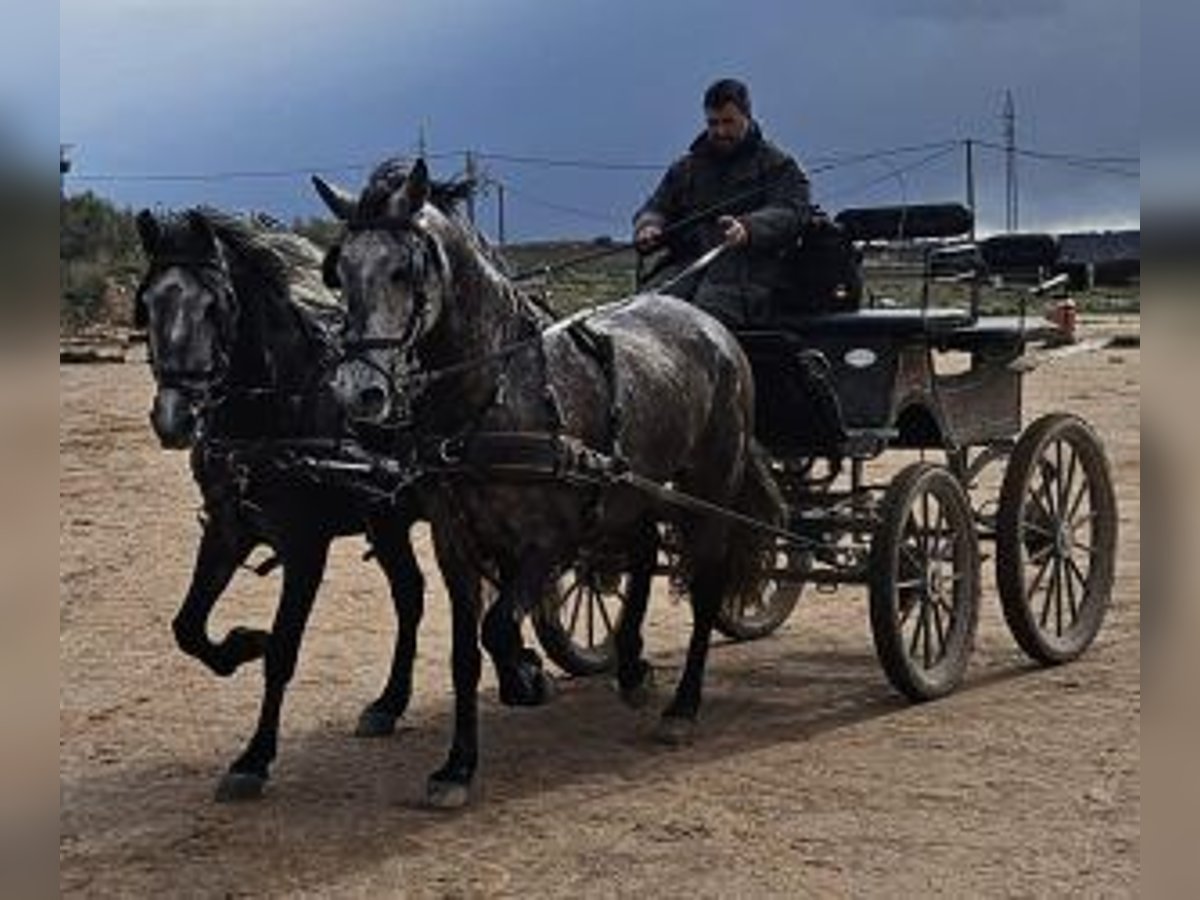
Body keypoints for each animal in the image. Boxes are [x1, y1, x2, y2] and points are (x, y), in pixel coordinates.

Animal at [312, 157, 777, 811]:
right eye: (341, 273)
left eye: (404, 270)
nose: (360, 392)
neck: (494, 392)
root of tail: (710, 325)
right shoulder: (455, 543)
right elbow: (467, 650)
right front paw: (459, 763)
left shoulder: (550, 540)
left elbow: (499, 624)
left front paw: (526, 678)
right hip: (631, 488)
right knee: (640, 556)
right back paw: (630, 668)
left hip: (708, 487)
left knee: (706, 585)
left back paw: (682, 708)